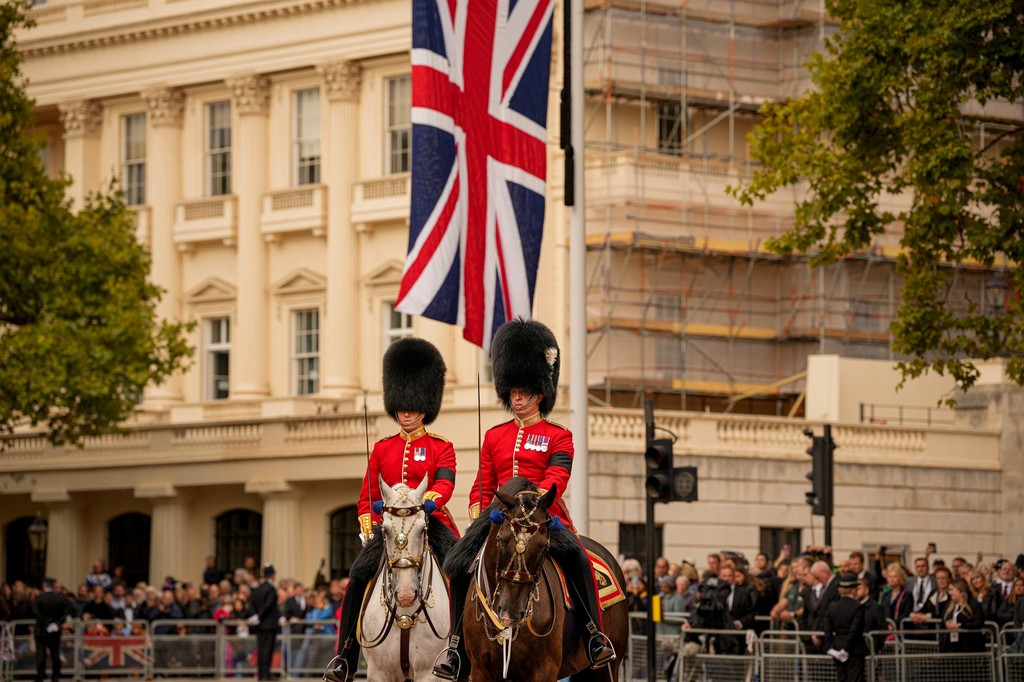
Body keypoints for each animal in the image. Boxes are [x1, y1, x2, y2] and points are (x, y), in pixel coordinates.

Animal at [358, 475, 450, 675]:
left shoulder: (428, 671)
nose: (405, 595)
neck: (404, 617)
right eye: (384, 529)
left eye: (423, 529)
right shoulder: (379, 672)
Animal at [462, 477, 622, 679]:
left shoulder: (544, 669)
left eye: (544, 546)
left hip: (606, 668)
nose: (510, 612)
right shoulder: (480, 670)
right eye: (502, 539)